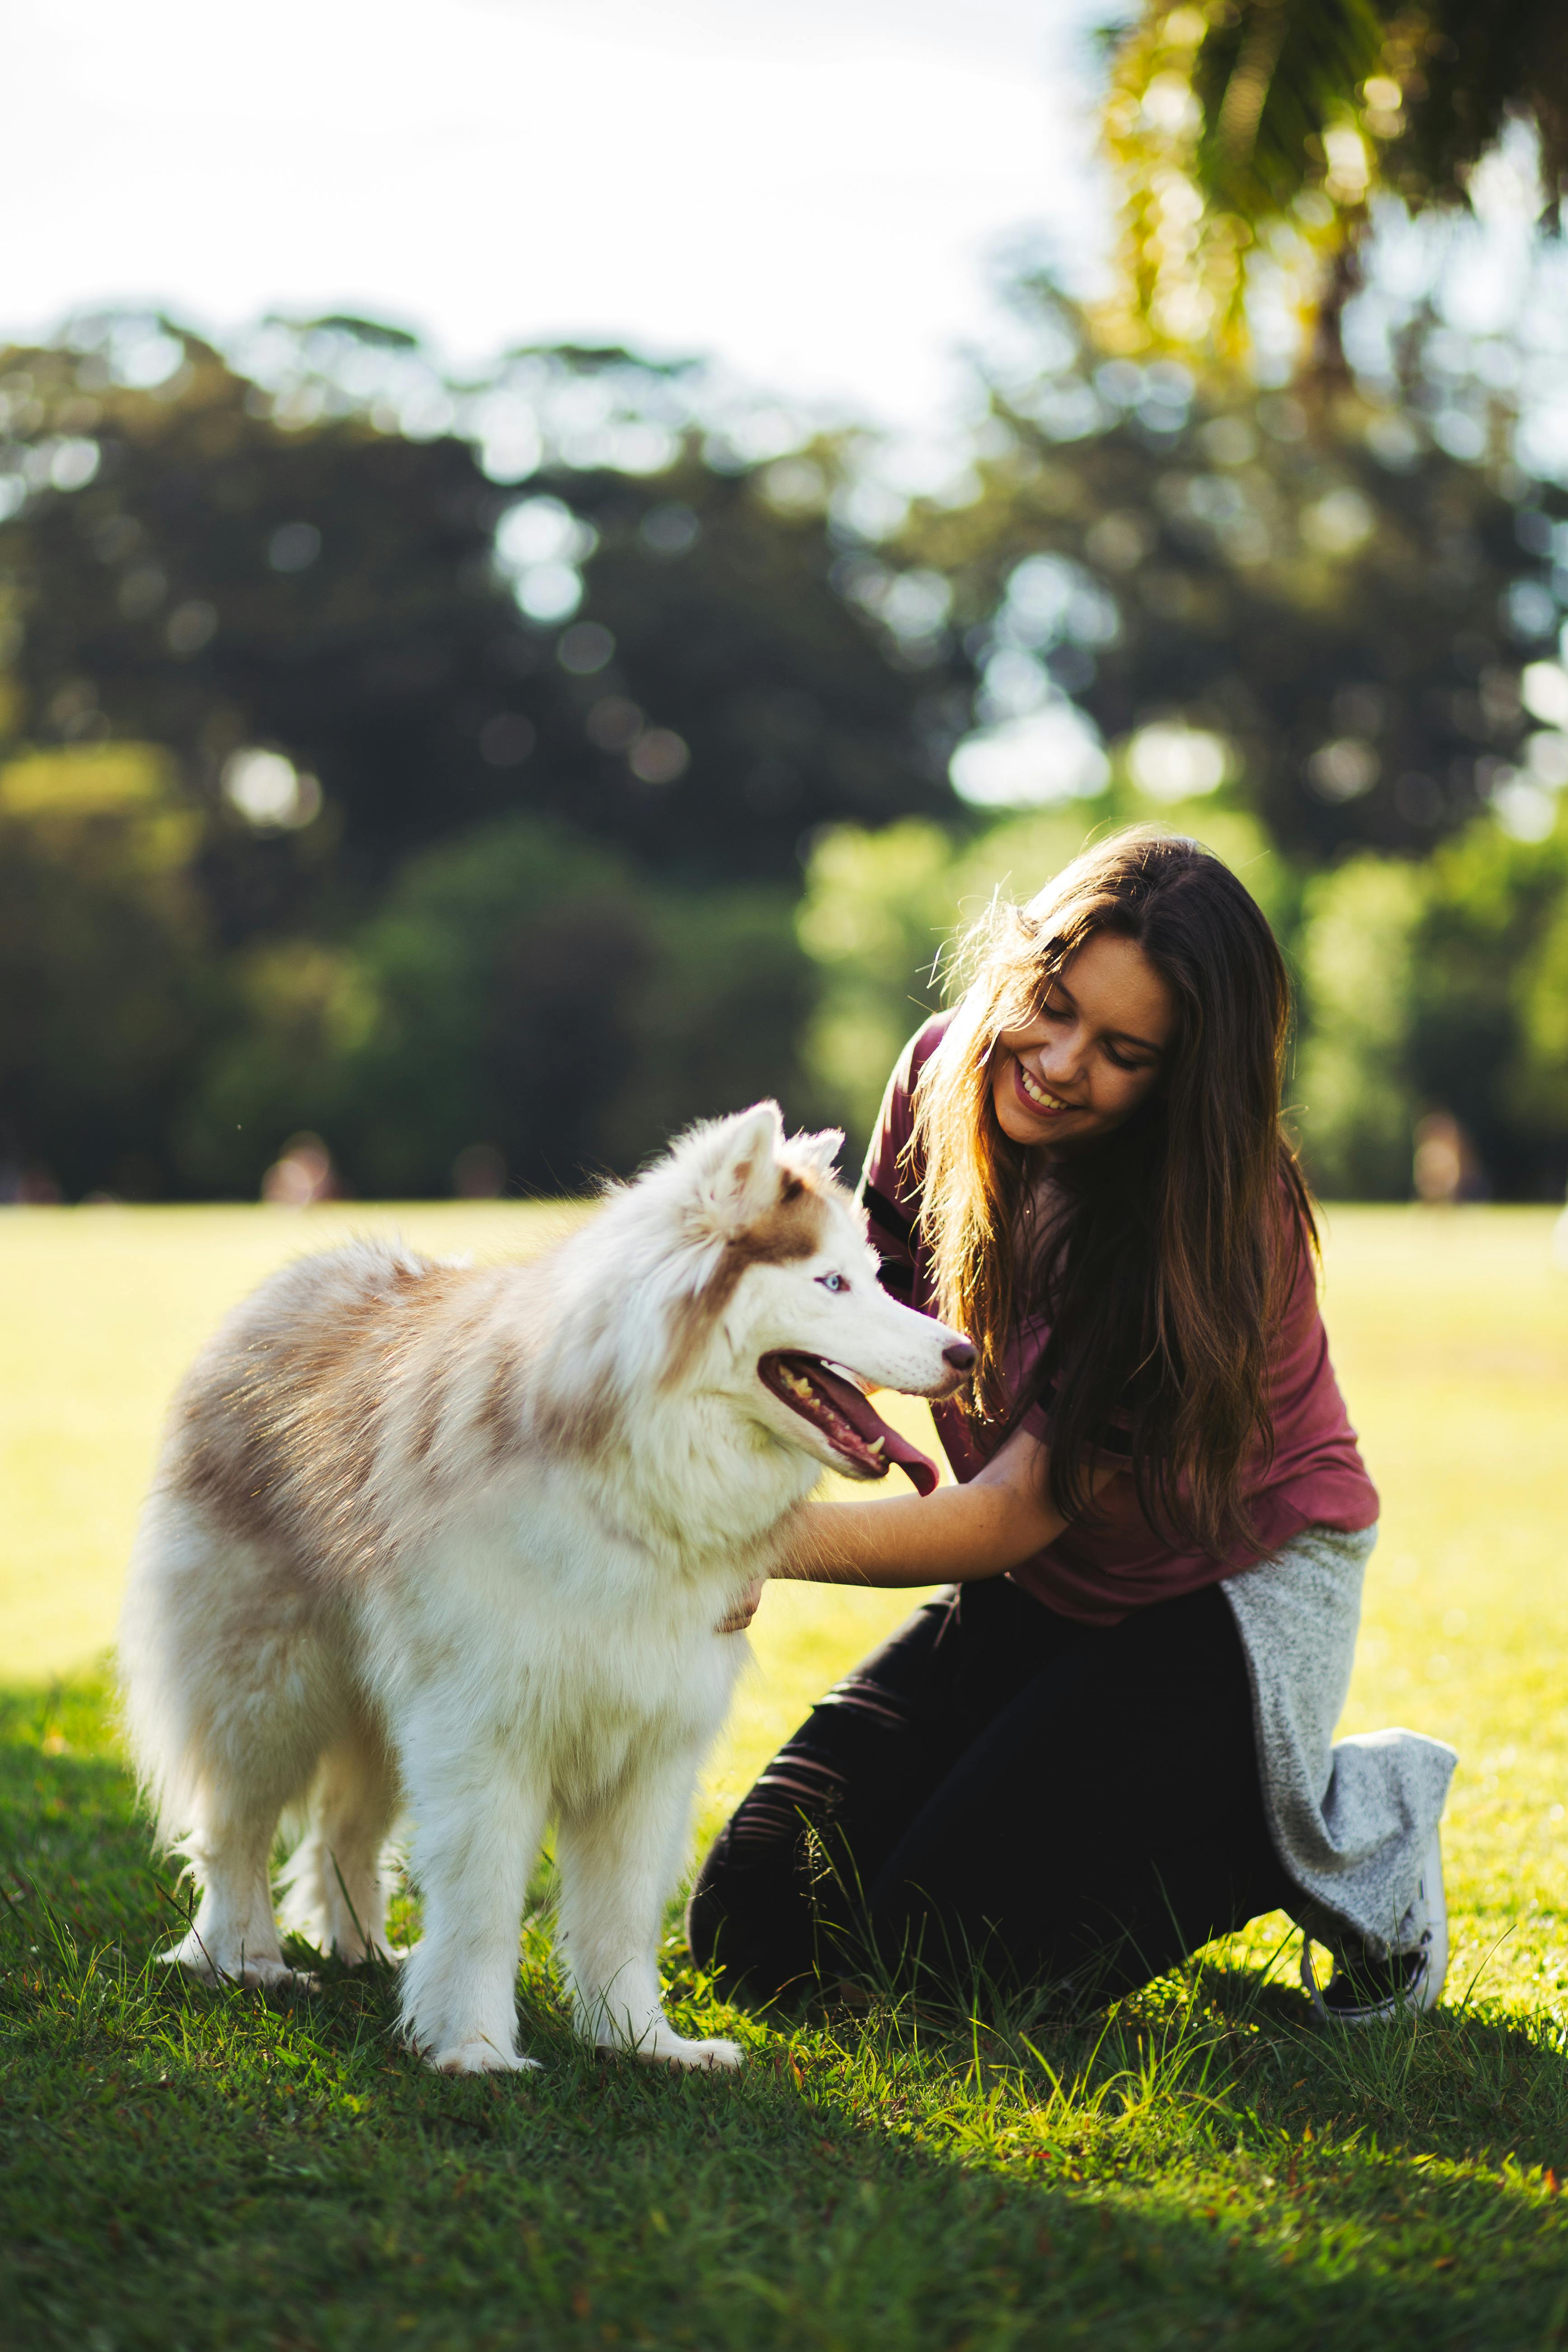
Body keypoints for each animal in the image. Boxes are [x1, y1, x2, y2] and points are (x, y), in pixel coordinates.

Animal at [122, 1105, 973, 2079]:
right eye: (830, 1282)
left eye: (875, 1276)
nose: (964, 1351)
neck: (637, 1482)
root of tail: (294, 1282)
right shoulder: (484, 1737)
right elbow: (483, 1906)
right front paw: (476, 2046)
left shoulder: (649, 1750)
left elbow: (620, 1919)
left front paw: (640, 2039)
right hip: (268, 1694)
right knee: (237, 1832)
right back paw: (243, 1959)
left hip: (380, 1715)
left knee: (344, 1832)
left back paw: (365, 1952)